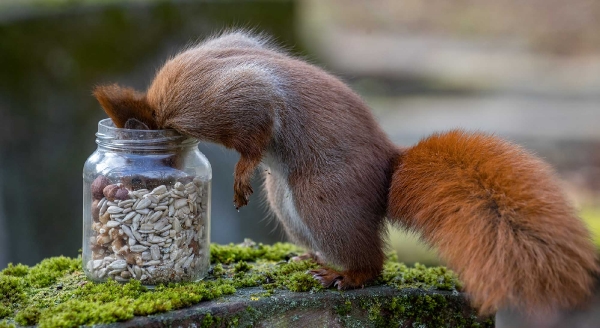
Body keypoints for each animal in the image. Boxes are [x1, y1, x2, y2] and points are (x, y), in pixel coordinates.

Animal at [91, 30, 596, 316]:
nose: (133, 184)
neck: (166, 109)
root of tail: (387, 170)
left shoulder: (226, 98)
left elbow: (256, 129)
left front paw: (242, 175)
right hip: (290, 207)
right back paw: (311, 260)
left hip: (323, 203)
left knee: (372, 261)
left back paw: (346, 277)